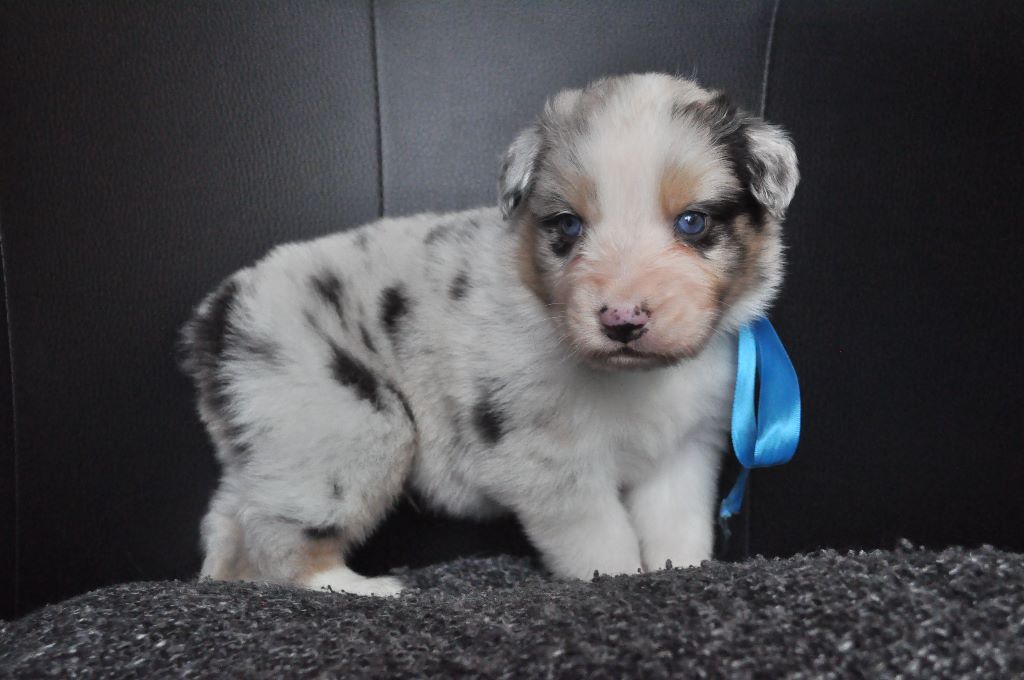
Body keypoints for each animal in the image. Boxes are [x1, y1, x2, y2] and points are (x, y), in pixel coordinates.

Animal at [180, 73, 798, 596]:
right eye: (568, 225)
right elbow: (604, 542)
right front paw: (617, 582)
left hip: (271, 441)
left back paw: (223, 579)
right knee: (280, 533)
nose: (622, 320)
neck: (635, 378)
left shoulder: (683, 450)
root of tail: (217, 314)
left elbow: (677, 528)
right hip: (343, 429)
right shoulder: (551, 463)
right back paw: (361, 588)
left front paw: (683, 573)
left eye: (692, 222)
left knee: (231, 514)